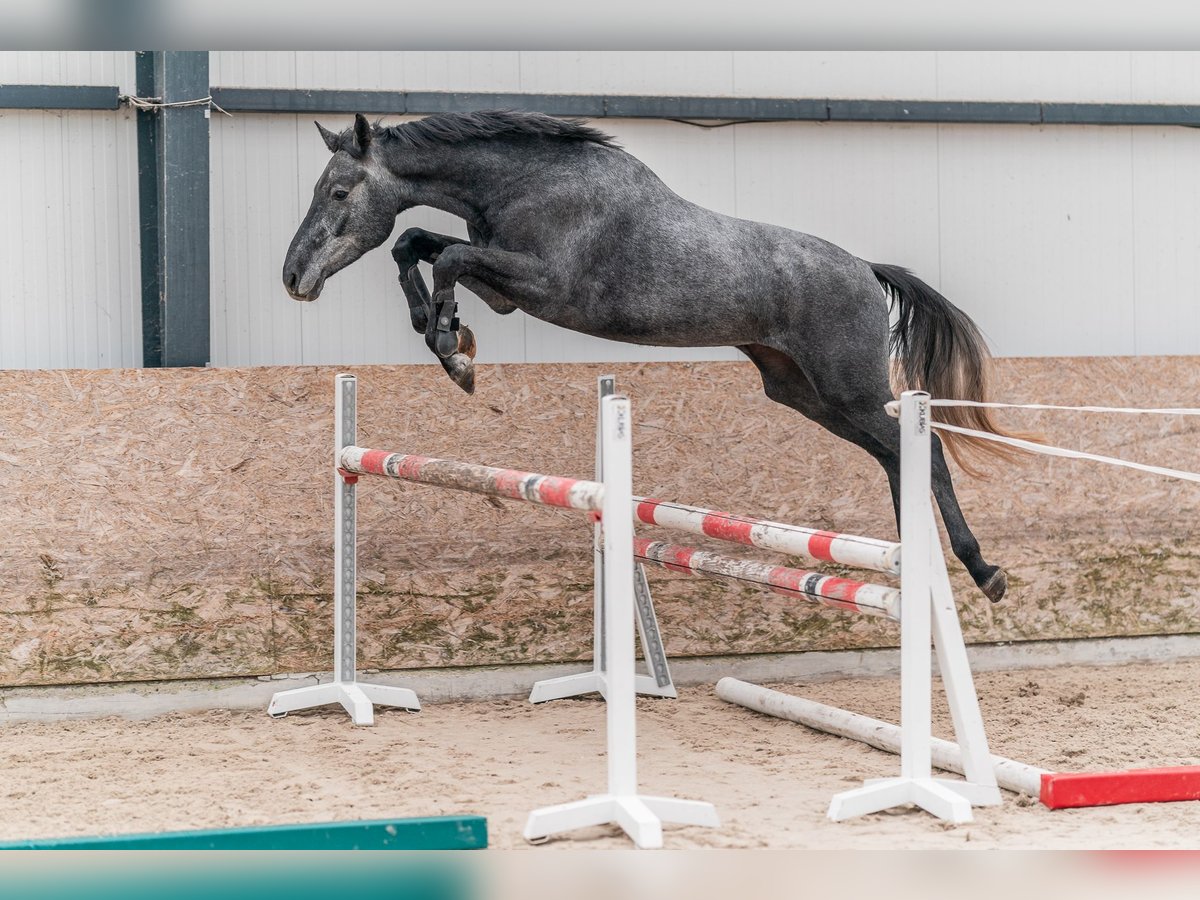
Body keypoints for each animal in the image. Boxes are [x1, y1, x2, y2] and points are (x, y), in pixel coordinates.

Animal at [283, 112, 1022, 607]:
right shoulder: (506, 291)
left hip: (850, 389)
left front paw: (451, 348)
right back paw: (928, 560)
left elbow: (447, 256)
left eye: (339, 192)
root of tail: (867, 270)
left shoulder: (540, 285)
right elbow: (415, 242)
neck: (527, 181)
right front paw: (443, 334)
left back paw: (980, 570)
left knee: (923, 451)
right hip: (804, 393)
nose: (294, 278)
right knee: (897, 457)